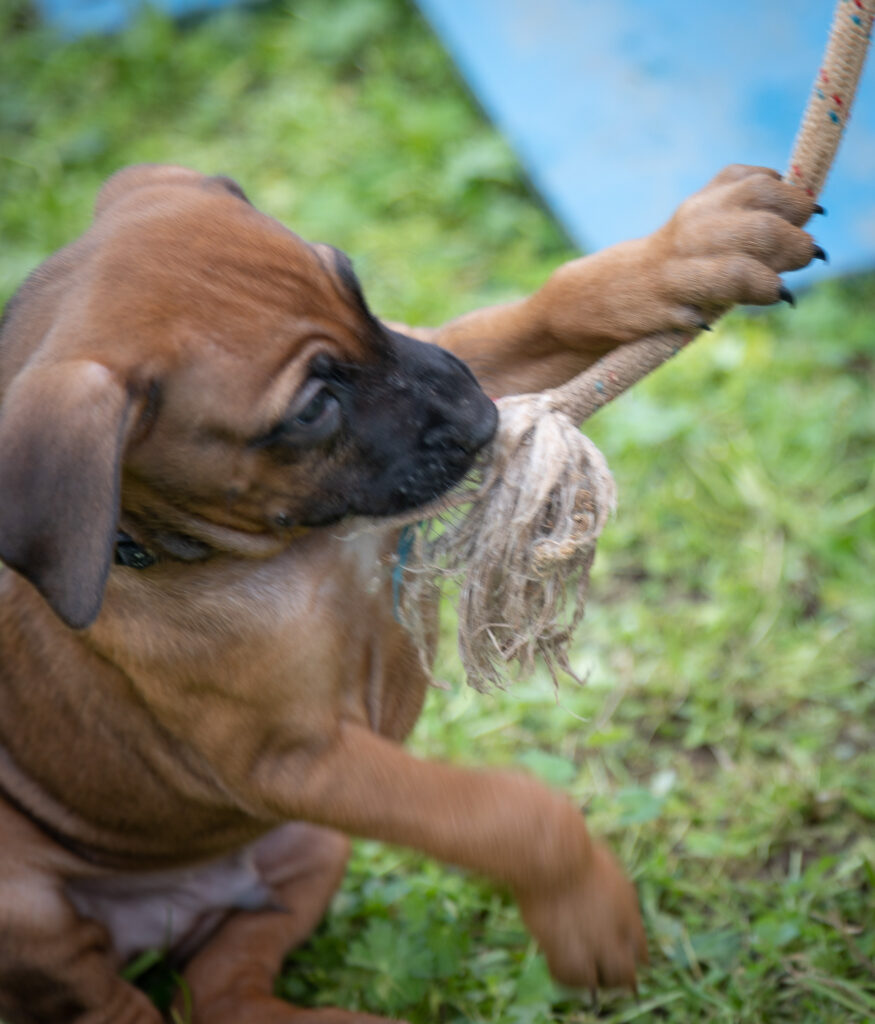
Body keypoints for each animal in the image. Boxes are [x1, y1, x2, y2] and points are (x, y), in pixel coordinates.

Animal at [0, 163, 823, 1019]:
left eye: (353, 285)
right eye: (311, 409)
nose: (478, 413)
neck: (290, 545)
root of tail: (170, 918)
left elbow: (541, 309)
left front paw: (692, 249)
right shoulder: (297, 761)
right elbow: (513, 812)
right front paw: (587, 911)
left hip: (310, 847)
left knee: (225, 989)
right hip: (25, 903)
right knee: (120, 1003)